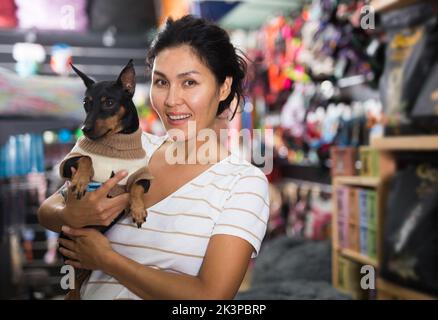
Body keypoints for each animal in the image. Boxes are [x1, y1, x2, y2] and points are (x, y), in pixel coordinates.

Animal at [58, 59, 152, 298]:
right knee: (72, 286)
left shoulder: (142, 175)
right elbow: (86, 158)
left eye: (109, 102)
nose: (85, 129)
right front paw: (81, 181)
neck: (115, 143)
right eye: (86, 103)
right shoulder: (69, 162)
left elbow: (137, 187)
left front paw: (138, 210)